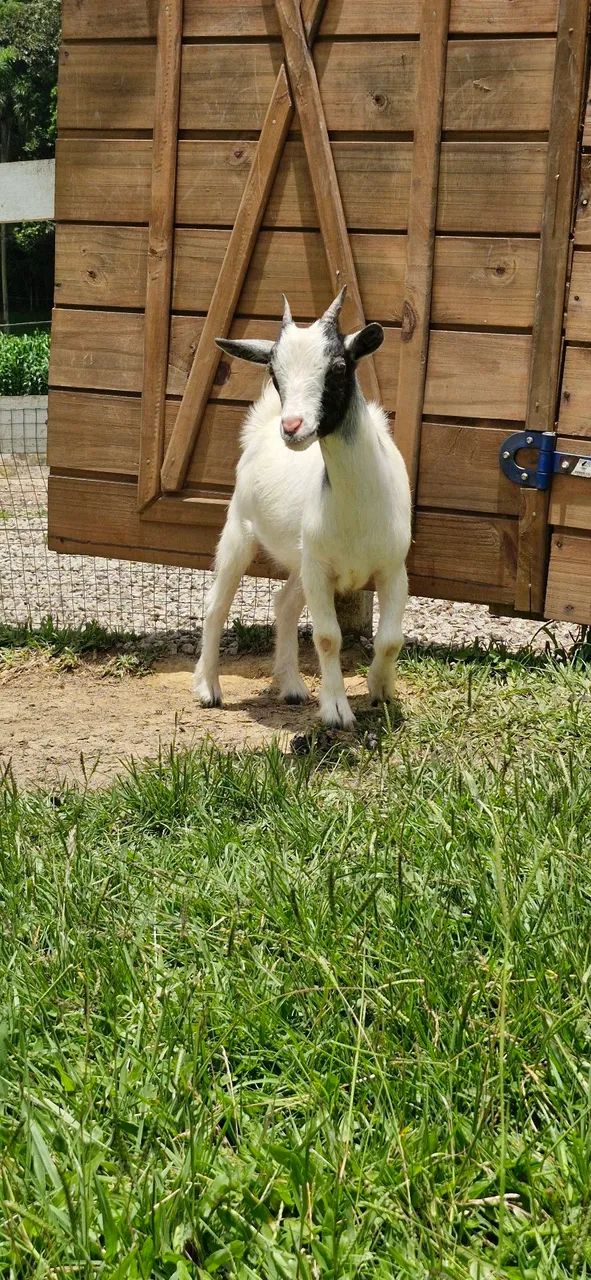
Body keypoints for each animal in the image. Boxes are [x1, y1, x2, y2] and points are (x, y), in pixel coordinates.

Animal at [194, 287, 412, 729]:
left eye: (339, 366)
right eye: (275, 374)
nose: (293, 427)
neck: (357, 510)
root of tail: (261, 428)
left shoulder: (392, 567)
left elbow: (389, 638)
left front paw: (382, 690)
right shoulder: (320, 568)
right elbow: (328, 637)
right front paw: (336, 710)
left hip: (300, 558)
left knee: (285, 604)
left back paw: (292, 687)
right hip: (239, 531)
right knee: (216, 605)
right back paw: (209, 688)